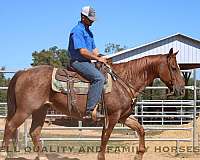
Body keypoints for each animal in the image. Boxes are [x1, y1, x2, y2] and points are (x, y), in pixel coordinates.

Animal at [2, 48, 184, 159]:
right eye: (174, 68)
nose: (181, 89)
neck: (123, 81)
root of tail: (22, 72)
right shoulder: (112, 117)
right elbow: (105, 138)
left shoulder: (123, 117)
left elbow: (140, 129)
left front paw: (139, 154)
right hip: (25, 110)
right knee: (10, 126)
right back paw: (6, 153)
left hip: (40, 110)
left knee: (34, 132)